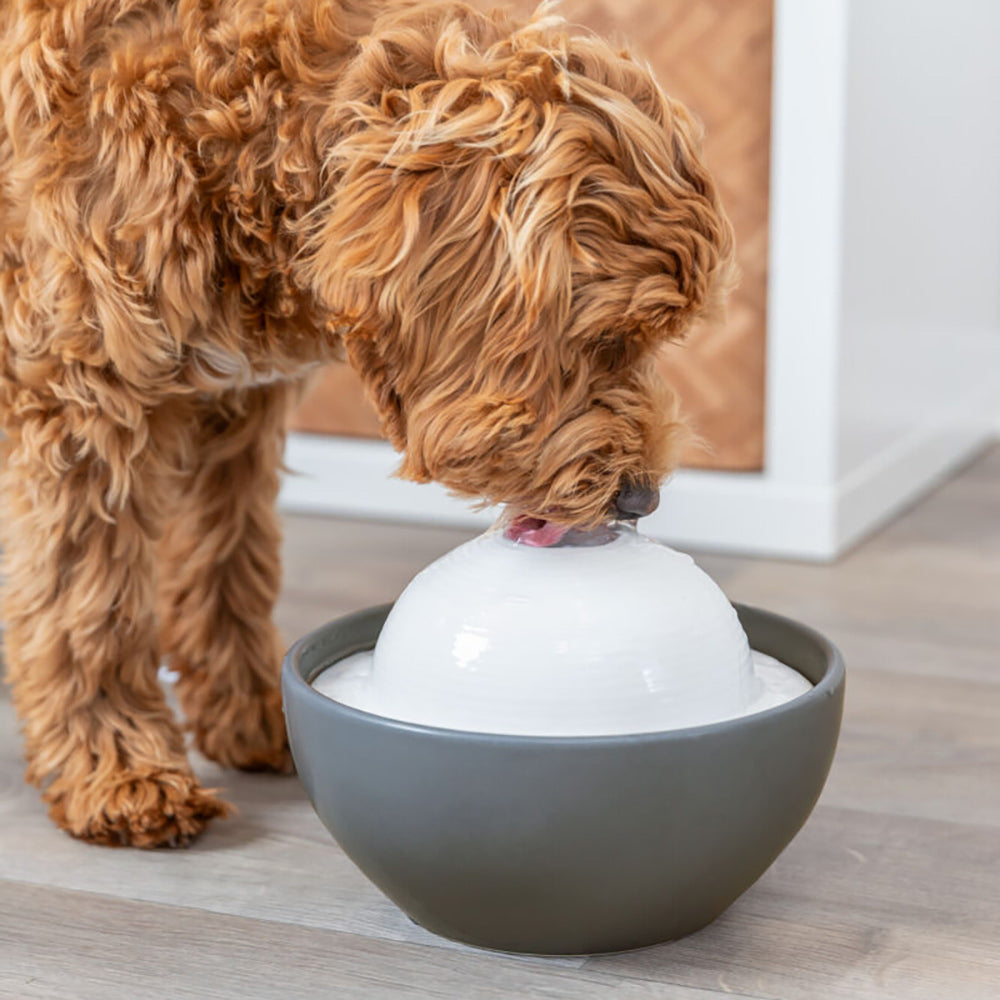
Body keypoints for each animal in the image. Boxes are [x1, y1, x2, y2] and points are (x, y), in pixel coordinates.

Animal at [0, 0, 736, 844]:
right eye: (613, 339)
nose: (642, 499)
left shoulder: (235, 407)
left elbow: (228, 561)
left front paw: (252, 717)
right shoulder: (85, 398)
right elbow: (90, 604)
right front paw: (117, 767)